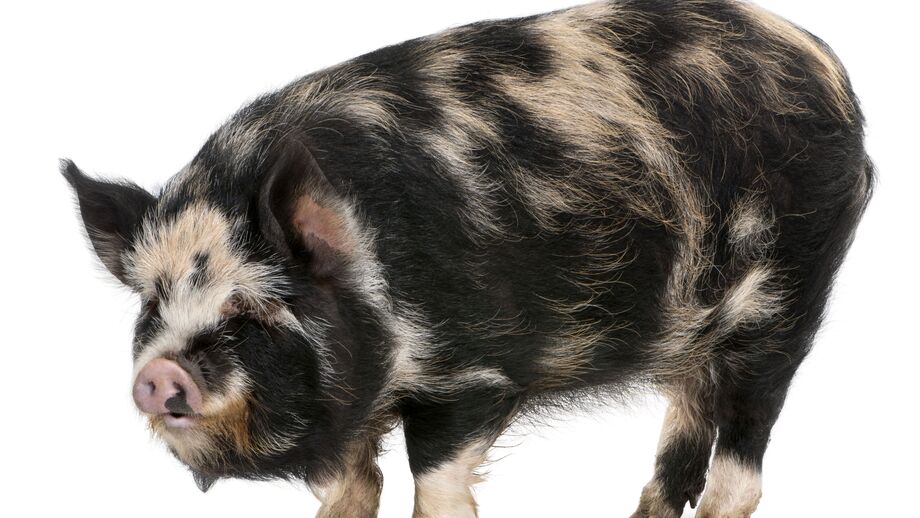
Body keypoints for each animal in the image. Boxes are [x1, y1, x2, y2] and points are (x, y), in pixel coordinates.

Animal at [63, 1, 873, 517]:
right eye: (152, 301)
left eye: (255, 306)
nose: (159, 373)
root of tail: (828, 66)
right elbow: (354, 492)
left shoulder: (472, 377)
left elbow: (436, 488)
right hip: (694, 339)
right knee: (680, 446)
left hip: (785, 304)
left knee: (741, 470)